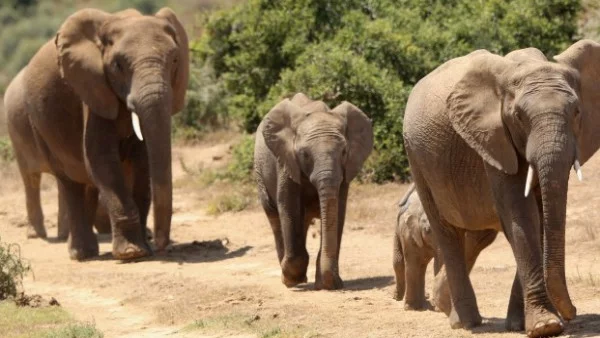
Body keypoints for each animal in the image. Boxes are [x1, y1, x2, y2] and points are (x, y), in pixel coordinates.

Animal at [2, 7, 188, 262]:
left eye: (175, 60)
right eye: (118, 65)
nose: (162, 246)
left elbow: (141, 162)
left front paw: (144, 249)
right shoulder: (92, 88)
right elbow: (101, 159)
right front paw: (132, 253)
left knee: (84, 181)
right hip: (33, 127)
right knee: (62, 180)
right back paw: (79, 253)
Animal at [254, 93, 376, 290]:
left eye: (344, 152)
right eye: (304, 155)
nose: (333, 284)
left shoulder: (345, 171)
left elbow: (338, 211)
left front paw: (329, 283)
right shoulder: (286, 162)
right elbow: (289, 208)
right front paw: (292, 280)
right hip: (260, 173)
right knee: (275, 218)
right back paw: (288, 277)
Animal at [394, 182, 496, 312]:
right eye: (427, 230)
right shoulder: (408, 233)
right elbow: (414, 263)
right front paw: (412, 309)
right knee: (399, 262)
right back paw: (398, 297)